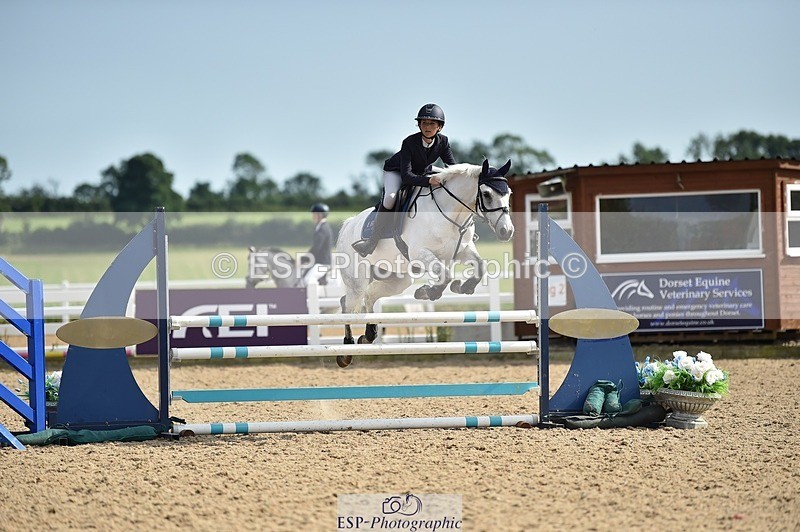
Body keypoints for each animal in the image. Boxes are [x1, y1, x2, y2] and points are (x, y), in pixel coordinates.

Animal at [333, 159, 514, 367]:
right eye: (486, 194)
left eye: (508, 193)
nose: (506, 231)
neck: (449, 213)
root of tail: (349, 224)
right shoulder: (420, 253)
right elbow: (446, 275)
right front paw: (429, 291)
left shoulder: (463, 251)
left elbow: (480, 267)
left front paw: (463, 287)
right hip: (357, 281)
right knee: (347, 304)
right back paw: (346, 350)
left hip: (399, 280)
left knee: (370, 296)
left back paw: (368, 336)